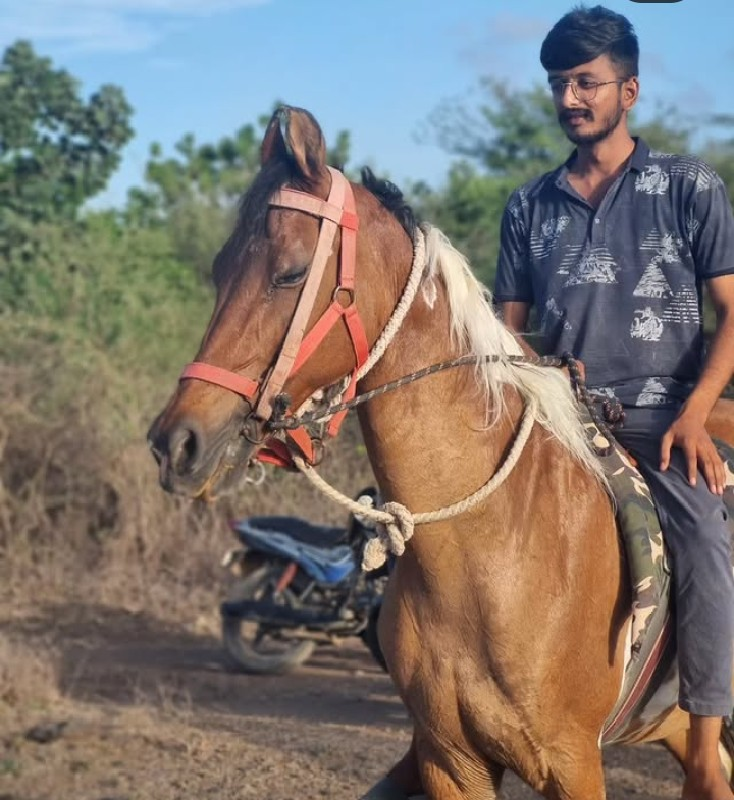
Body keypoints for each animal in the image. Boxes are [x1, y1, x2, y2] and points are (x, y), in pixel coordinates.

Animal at [148, 103, 734, 796]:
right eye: (219, 270)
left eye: (289, 273)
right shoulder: (450, 759)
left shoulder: (573, 762)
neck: (493, 546)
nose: (176, 442)